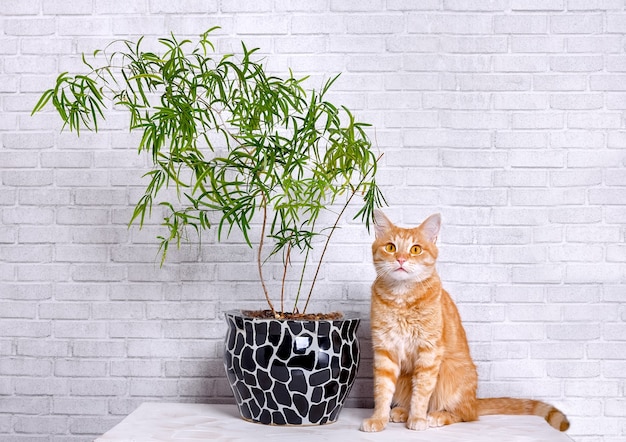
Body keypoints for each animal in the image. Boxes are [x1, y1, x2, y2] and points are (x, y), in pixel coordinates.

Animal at [358, 211, 568, 432]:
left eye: (415, 249)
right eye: (391, 247)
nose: (401, 259)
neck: (402, 297)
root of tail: (475, 400)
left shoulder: (429, 352)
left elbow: (422, 392)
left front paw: (418, 418)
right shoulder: (385, 350)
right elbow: (382, 391)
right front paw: (379, 418)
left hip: (451, 374)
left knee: (466, 415)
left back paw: (436, 416)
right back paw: (401, 411)